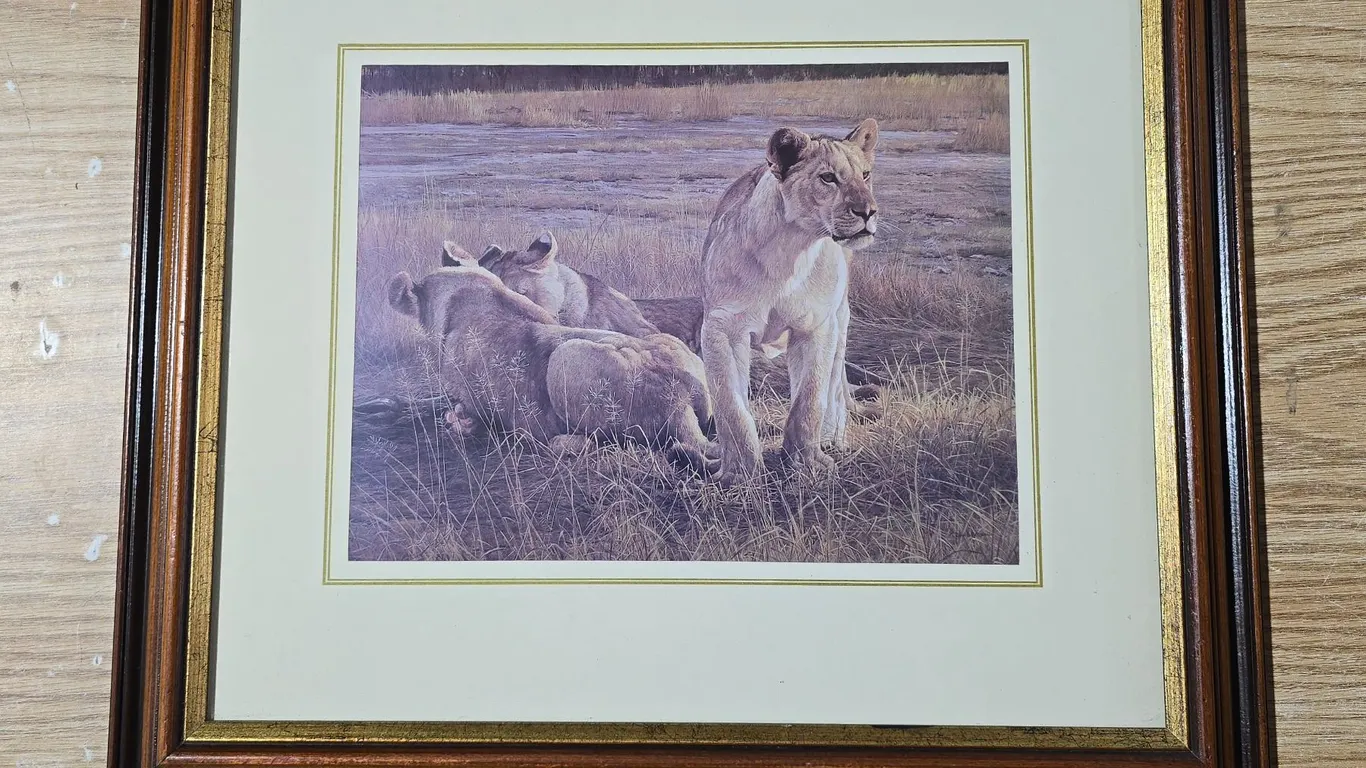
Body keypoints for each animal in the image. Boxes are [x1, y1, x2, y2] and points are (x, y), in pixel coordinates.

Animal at [388, 254, 717, 472]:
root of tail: (680, 399)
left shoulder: (476, 404)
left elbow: (459, 416)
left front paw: (457, 421)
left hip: (565, 358)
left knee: (609, 443)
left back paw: (560, 442)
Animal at [700, 118, 880, 483]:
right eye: (828, 178)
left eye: (866, 175)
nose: (868, 211)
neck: (790, 251)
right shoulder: (722, 329)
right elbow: (730, 405)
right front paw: (738, 473)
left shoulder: (816, 327)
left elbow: (808, 401)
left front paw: (806, 464)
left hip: (840, 321)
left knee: (835, 385)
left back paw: (833, 438)